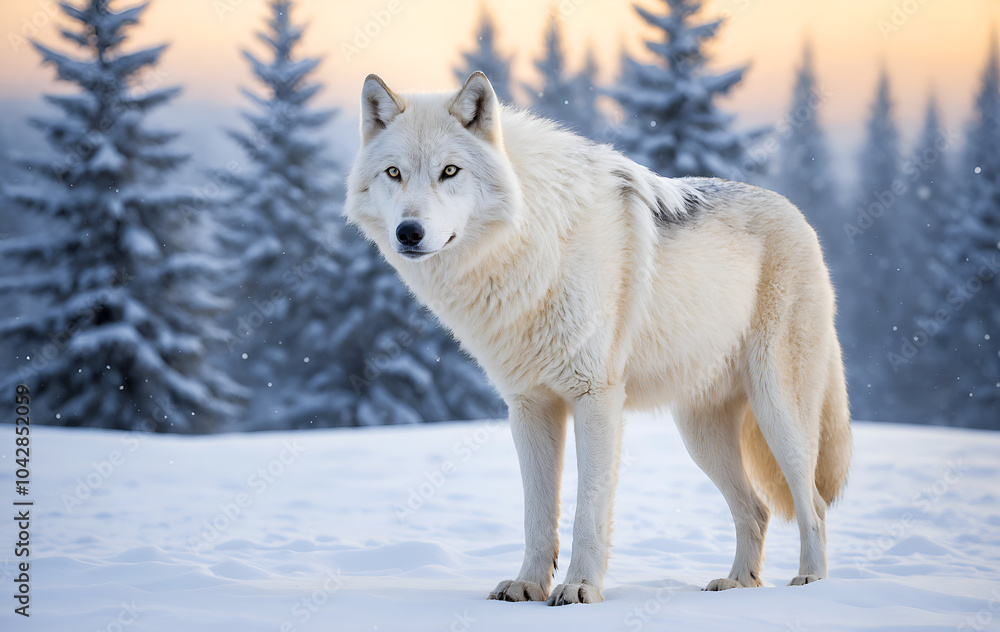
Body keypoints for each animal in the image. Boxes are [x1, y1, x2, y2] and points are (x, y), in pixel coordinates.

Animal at [344, 72, 852, 606]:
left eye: (449, 171)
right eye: (394, 173)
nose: (409, 232)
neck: (534, 243)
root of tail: (800, 218)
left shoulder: (596, 398)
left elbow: (587, 509)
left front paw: (580, 588)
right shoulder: (530, 406)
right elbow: (536, 513)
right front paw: (528, 585)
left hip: (779, 412)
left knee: (813, 504)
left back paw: (809, 584)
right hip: (700, 434)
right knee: (756, 508)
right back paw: (735, 583)